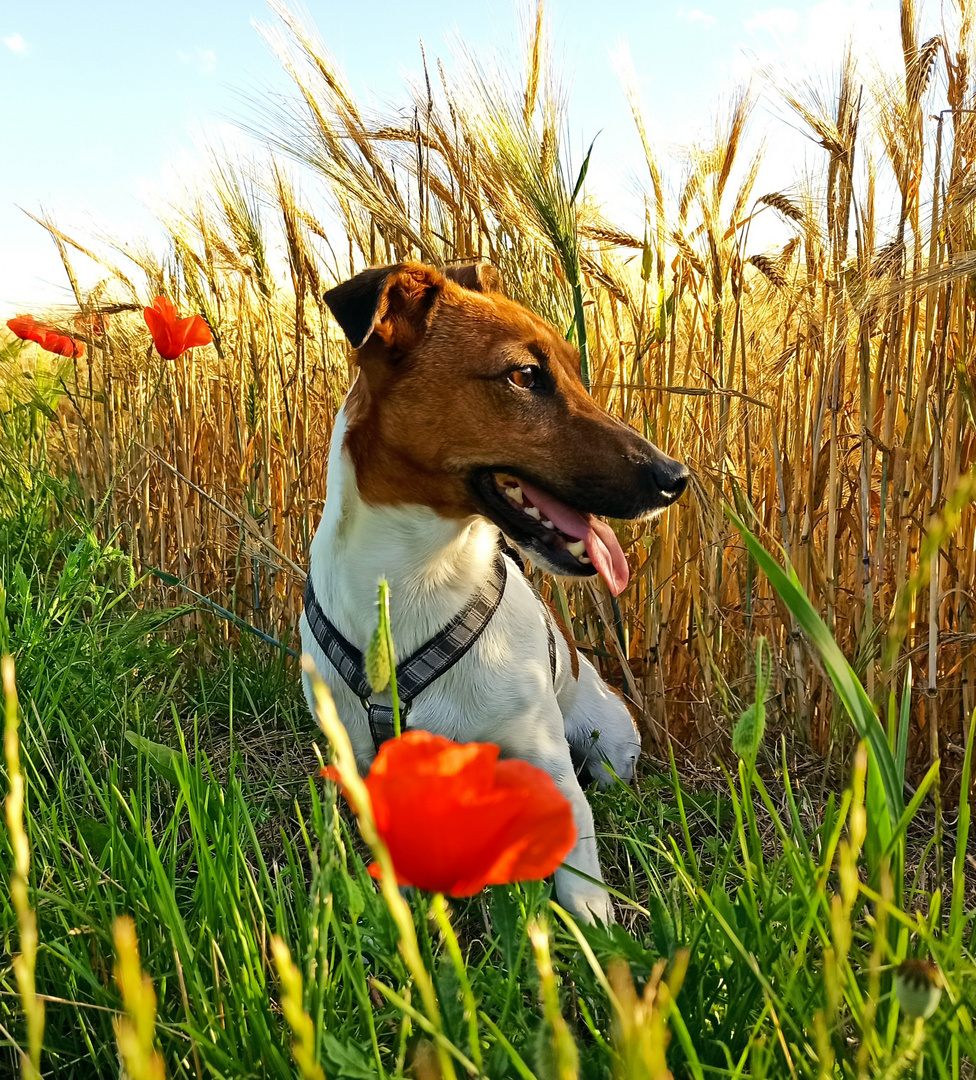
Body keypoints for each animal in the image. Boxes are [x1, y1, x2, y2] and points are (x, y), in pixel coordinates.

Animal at [300, 261, 690, 920]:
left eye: (574, 368)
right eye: (525, 375)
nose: (677, 478)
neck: (418, 573)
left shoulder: (547, 767)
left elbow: (582, 891)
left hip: (613, 744)